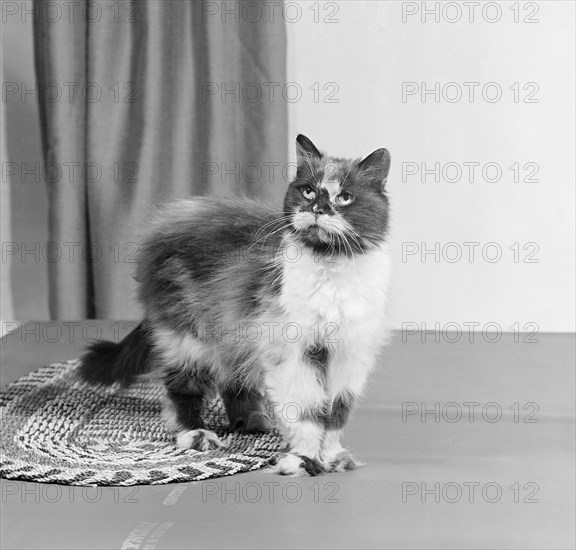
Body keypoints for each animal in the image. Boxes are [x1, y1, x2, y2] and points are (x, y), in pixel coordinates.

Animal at [80, 136, 392, 476]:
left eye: (345, 197)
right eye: (308, 190)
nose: (318, 209)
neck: (330, 267)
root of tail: (164, 223)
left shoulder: (348, 353)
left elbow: (336, 413)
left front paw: (333, 458)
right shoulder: (290, 351)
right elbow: (307, 411)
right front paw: (303, 459)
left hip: (232, 330)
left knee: (233, 381)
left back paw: (252, 422)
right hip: (189, 335)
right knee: (182, 389)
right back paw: (196, 434)